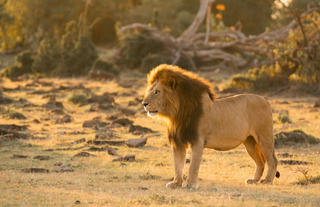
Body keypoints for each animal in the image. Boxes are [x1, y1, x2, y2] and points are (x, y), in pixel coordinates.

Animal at [142, 64, 280, 189]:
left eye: (157, 92)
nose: (144, 103)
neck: (177, 113)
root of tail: (265, 99)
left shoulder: (197, 141)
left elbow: (193, 166)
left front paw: (190, 184)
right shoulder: (178, 142)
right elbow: (178, 165)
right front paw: (176, 183)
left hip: (264, 137)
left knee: (272, 160)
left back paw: (267, 181)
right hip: (250, 141)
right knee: (260, 162)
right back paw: (254, 180)